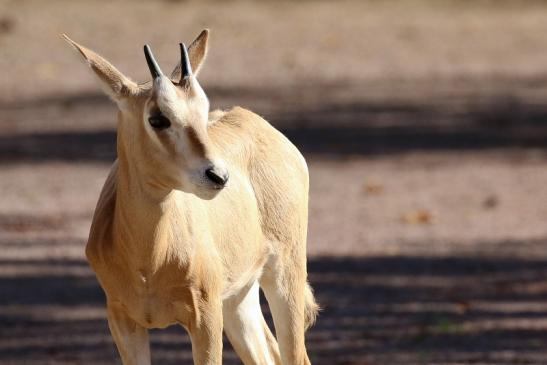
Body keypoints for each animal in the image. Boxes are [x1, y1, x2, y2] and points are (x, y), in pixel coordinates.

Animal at [65, 29, 318, 362]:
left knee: (295, 354)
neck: (148, 260)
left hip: (283, 275)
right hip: (238, 298)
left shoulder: (204, 319)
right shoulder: (123, 321)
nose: (218, 176)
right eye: (157, 118)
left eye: (202, 110)